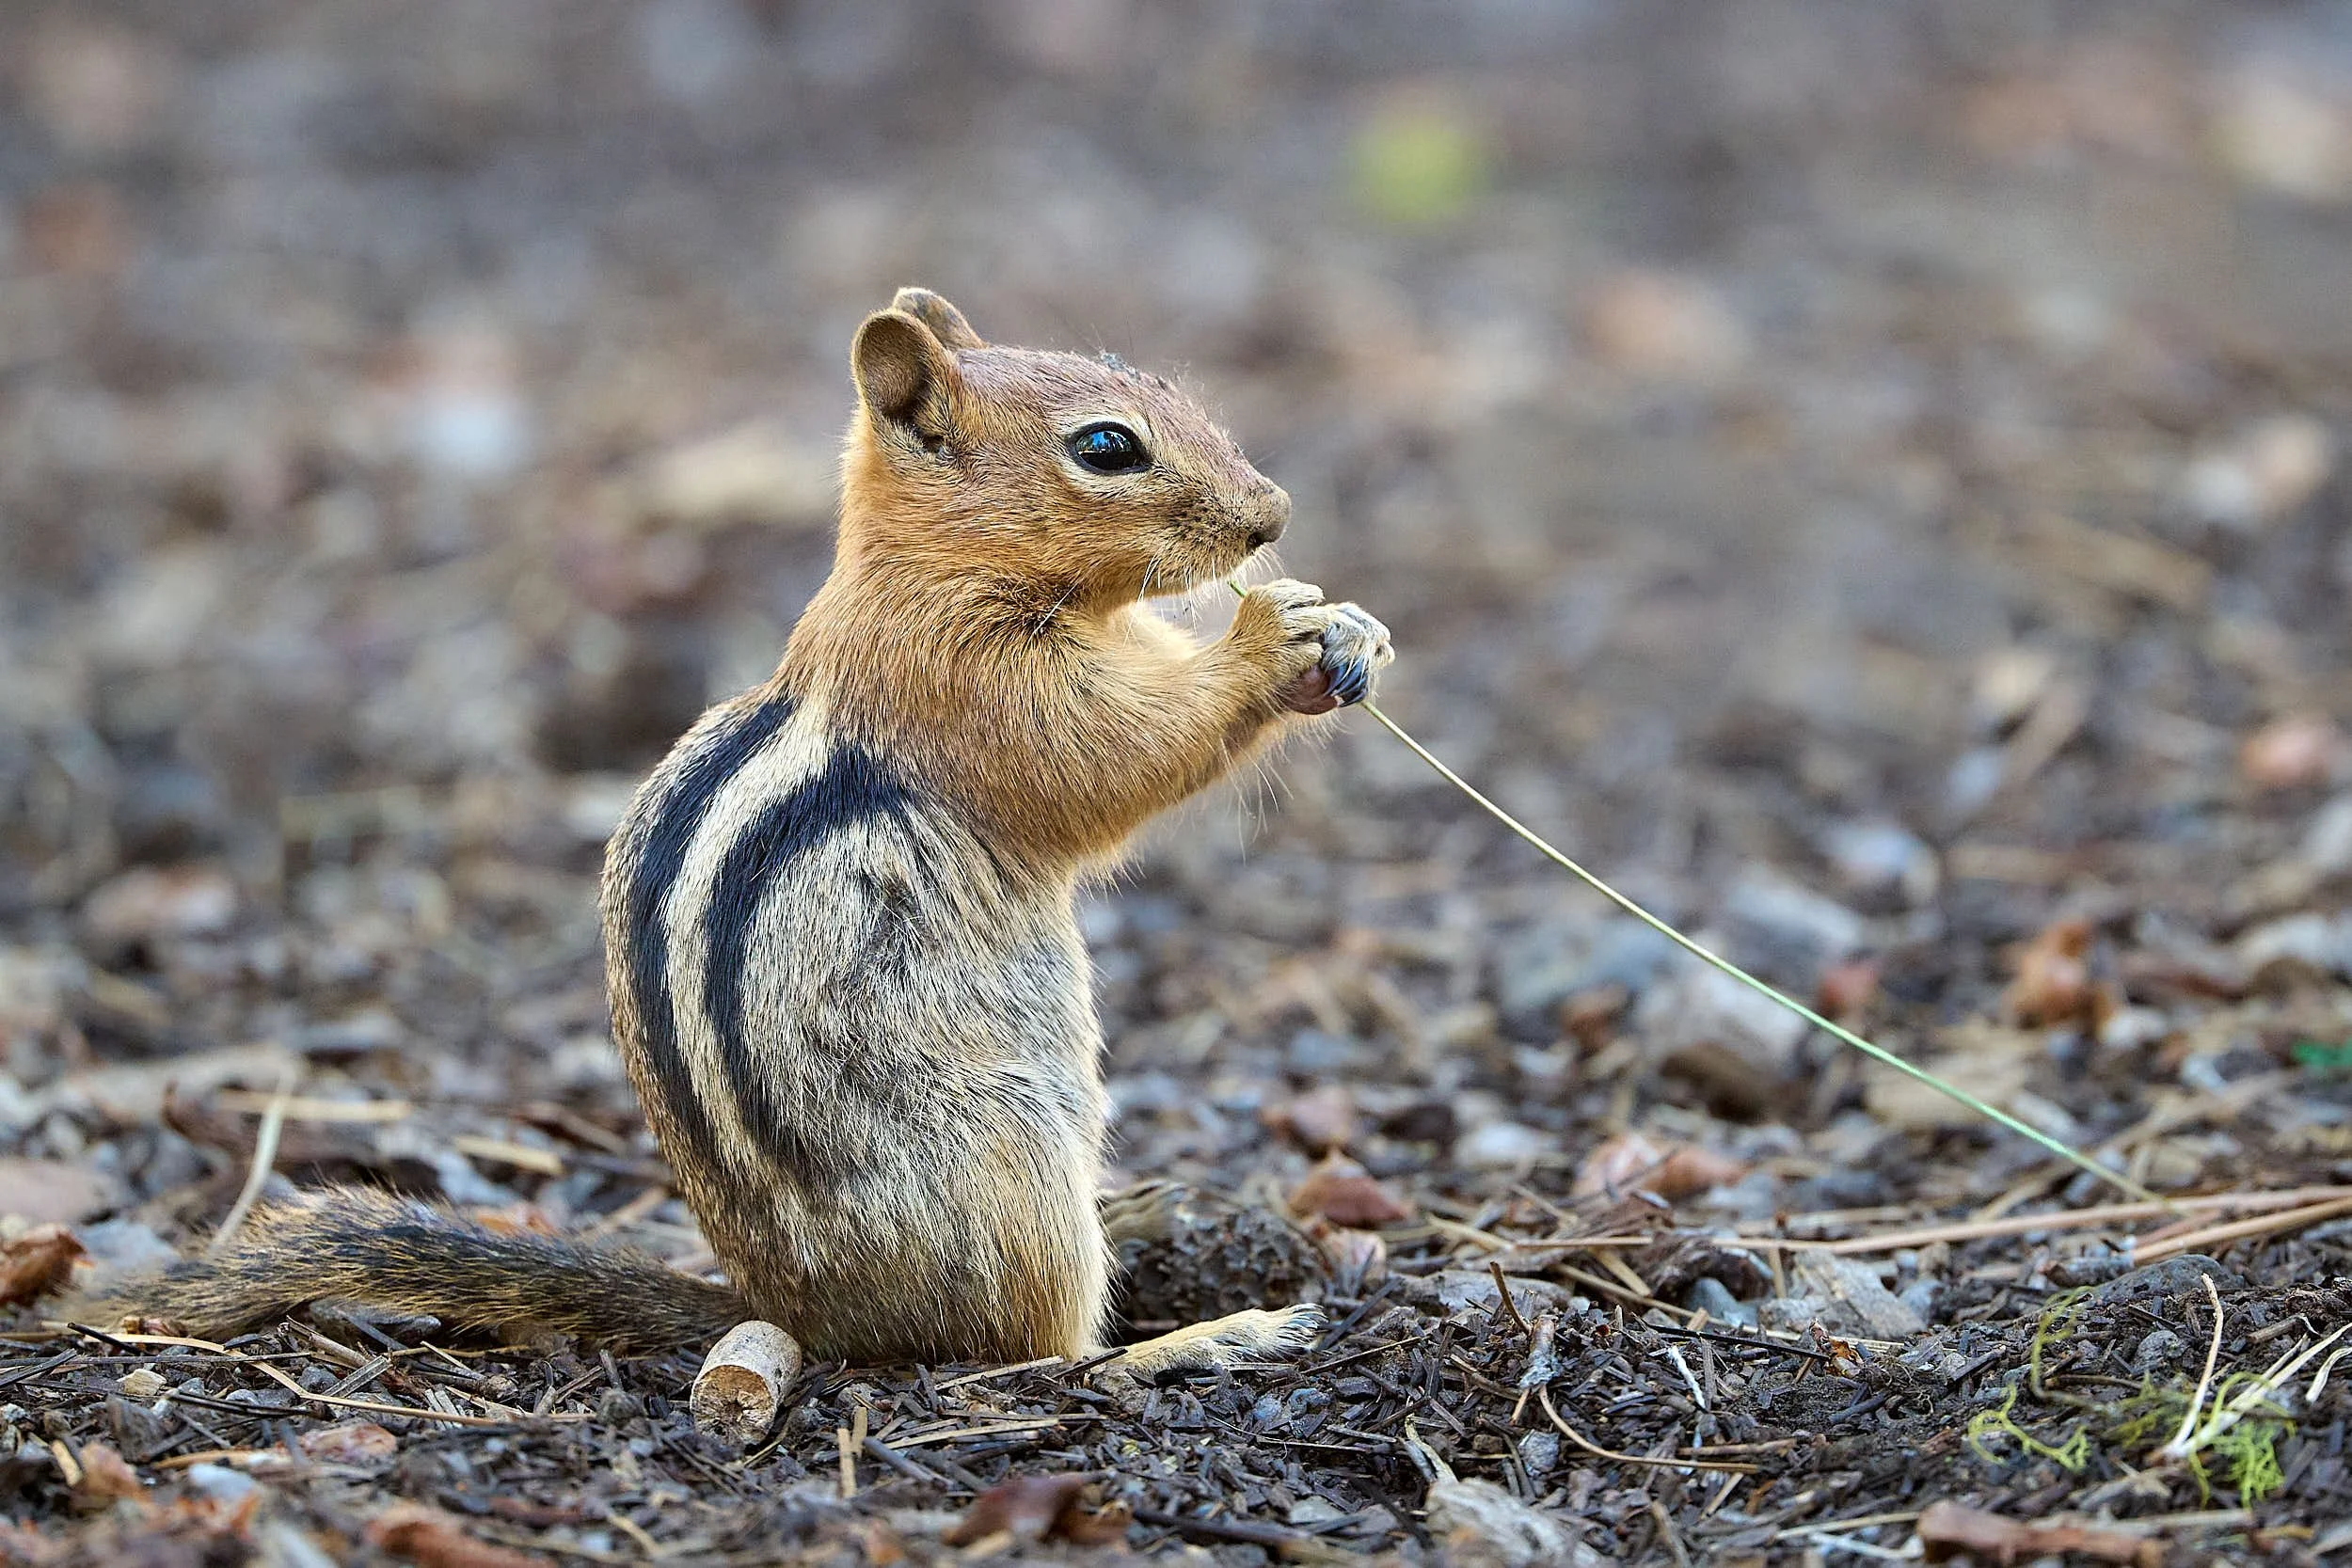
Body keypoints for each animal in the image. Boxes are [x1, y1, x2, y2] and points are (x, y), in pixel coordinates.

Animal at [77, 288, 1393, 1374]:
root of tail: (804, 1313)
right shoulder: (970, 682)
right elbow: (1111, 760)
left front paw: (1347, 625)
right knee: (1035, 1354)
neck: (917, 571)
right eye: (1107, 445)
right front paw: (1268, 639)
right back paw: (1209, 1332)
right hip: (1005, 1166)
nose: (1272, 515)